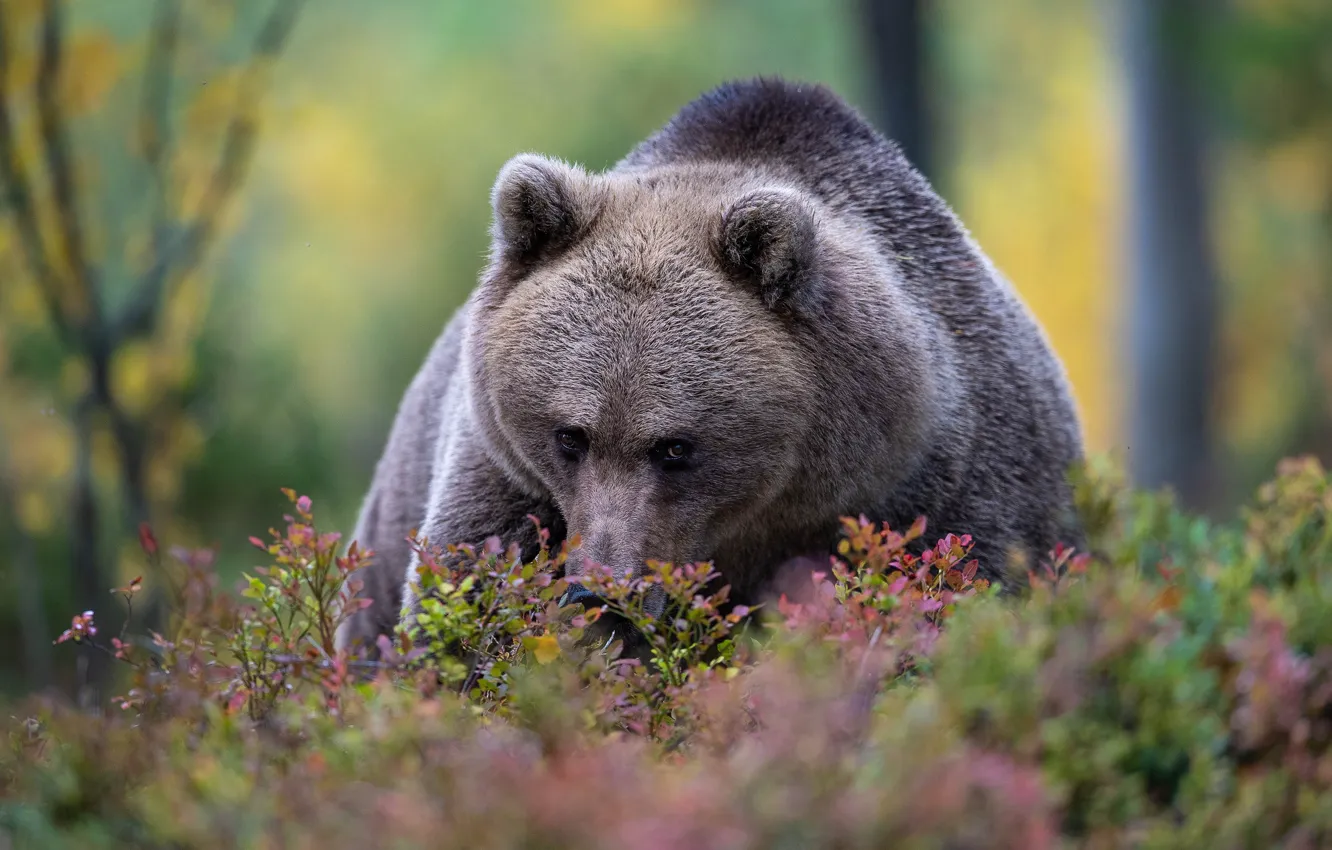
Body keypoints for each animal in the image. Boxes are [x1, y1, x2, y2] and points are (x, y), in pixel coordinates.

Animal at [334, 77, 1085, 657]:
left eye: (675, 446)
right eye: (569, 435)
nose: (599, 591)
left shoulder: (949, 480)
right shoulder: (509, 478)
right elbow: (466, 601)